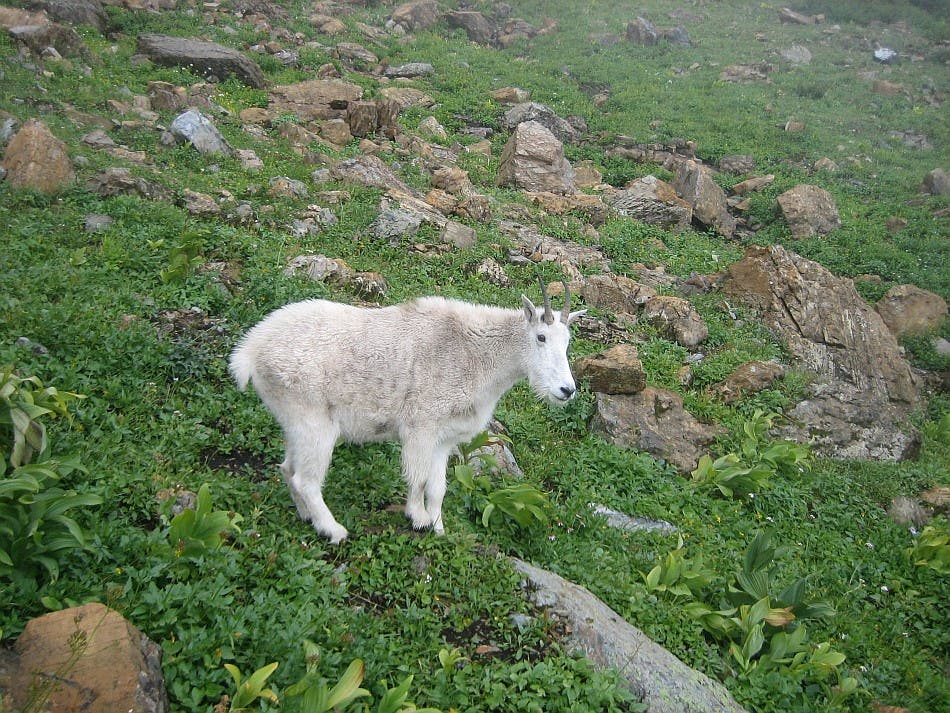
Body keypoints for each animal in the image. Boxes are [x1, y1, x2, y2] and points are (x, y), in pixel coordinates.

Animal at [229, 278, 585, 543]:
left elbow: (438, 486)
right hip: (313, 420)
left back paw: (306, 516)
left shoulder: (444, 438)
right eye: (541, 337)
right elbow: (417, 476)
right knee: (306, 479)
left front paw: (439, 528)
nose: (567, 390)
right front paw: (418, 519)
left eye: (567, 342)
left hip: (293, 421)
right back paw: (334, 530)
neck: (476, 354)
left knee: (288, 467)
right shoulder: (421, 427)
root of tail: (250, 350)